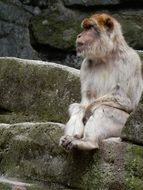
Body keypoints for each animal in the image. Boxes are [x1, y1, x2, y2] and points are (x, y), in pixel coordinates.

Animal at [59, 12, 142, 151]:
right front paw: (84, 110)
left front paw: (89, 110)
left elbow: (125, 100)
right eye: (84, 28)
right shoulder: (86, 65)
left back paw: (88, 142)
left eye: (90, 28)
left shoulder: (129, 61)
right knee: (77, 107)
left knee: (104, 108)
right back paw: (73, 138)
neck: (106, 56)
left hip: (123, 126)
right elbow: (86, 100)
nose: (79, 35)